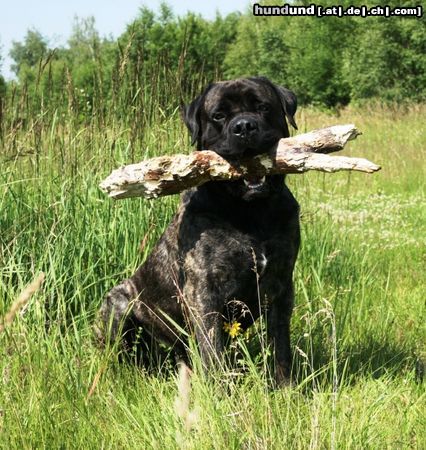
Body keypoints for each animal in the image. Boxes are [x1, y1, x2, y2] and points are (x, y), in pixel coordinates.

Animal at [98, 75, 302, 384]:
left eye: (263, 107)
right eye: (218, 115)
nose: (244, 126)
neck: (251, 212)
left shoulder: (281, 287)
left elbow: (281, 347)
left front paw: (285, 388)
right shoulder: (204, 293)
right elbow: (213, 353)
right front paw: (219, 393)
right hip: (118, 303)